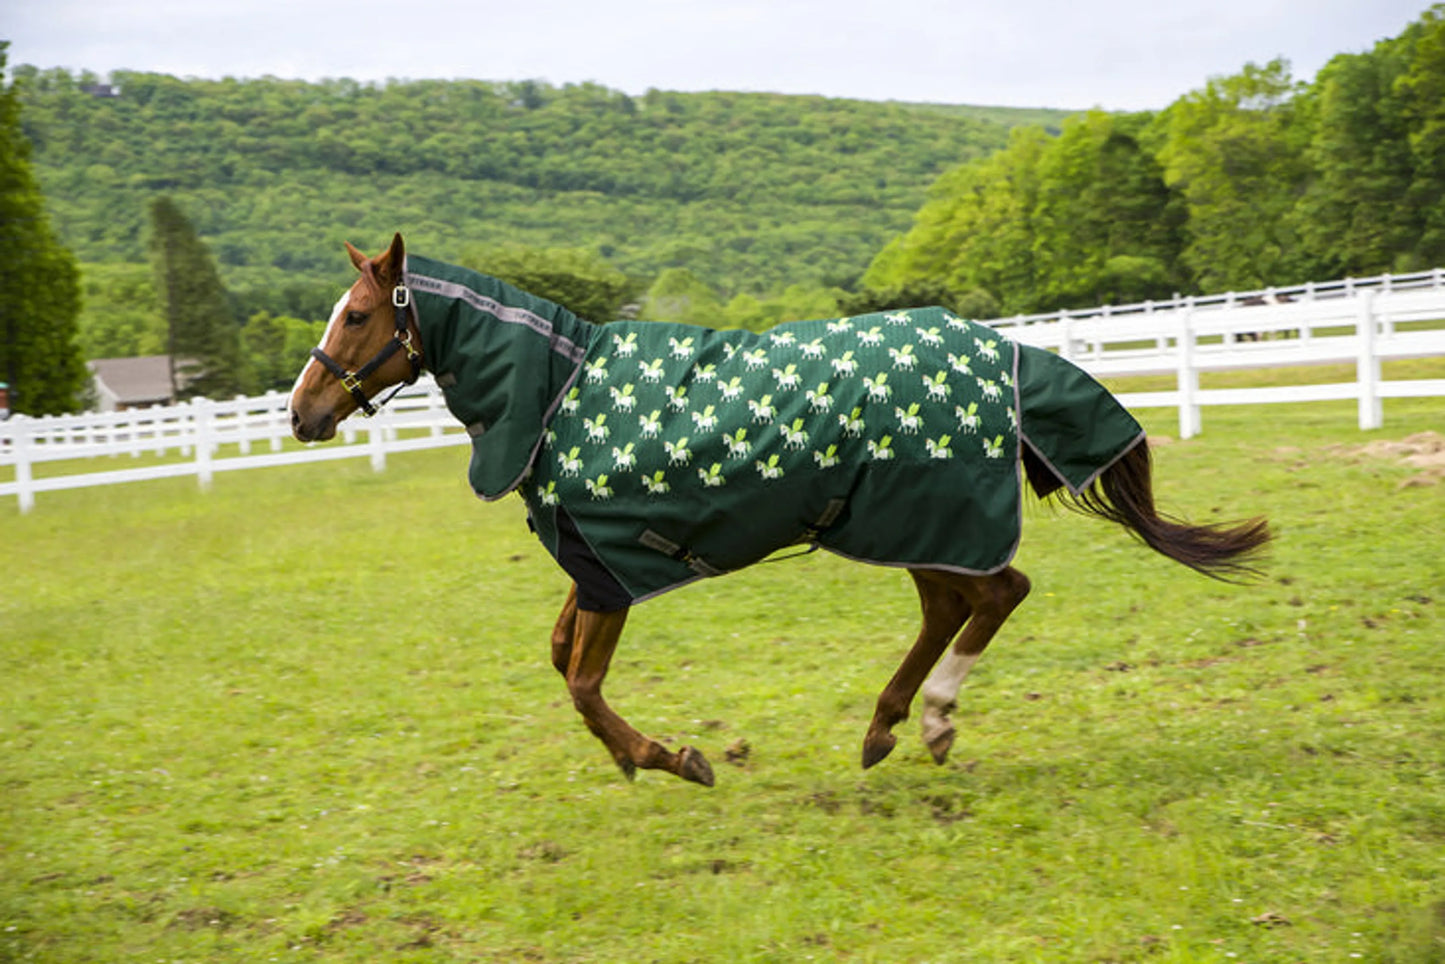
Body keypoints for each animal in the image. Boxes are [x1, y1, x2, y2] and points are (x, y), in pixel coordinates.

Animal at [289, 234, 1270, 788]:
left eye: (359, 315)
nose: (301, 412)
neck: (561, 391)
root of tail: (1005, 352)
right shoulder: (589, 559)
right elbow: (560, 658)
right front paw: (638, 756)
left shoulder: (610, 570)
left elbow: (581, 681)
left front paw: (669, 758)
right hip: (895, 521)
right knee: (954, 606)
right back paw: (886, 726)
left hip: (919, 514)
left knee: (996, 594)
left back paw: (932, 718)